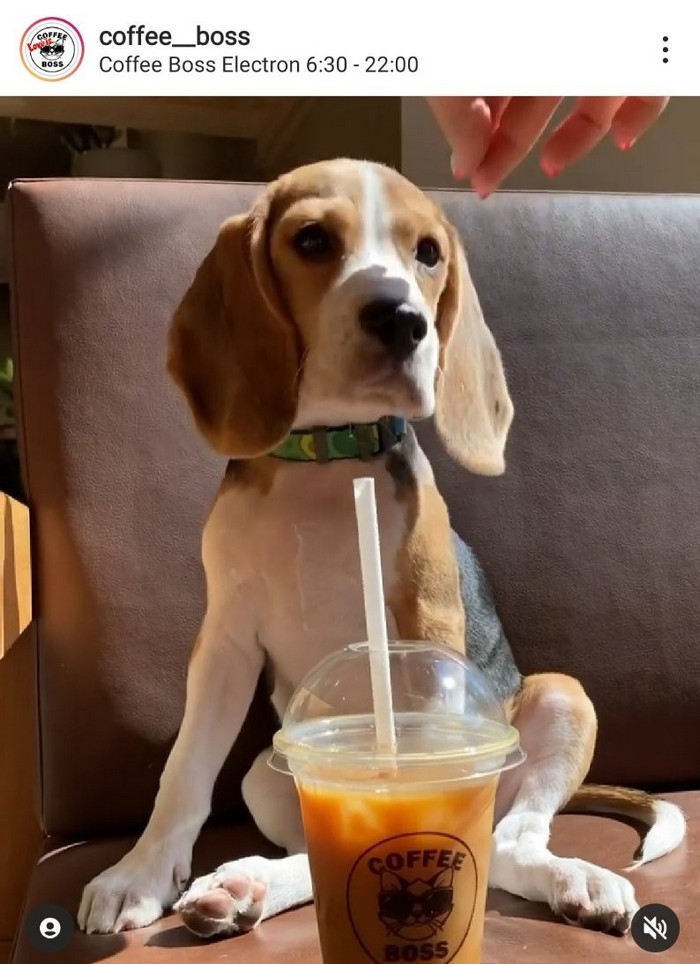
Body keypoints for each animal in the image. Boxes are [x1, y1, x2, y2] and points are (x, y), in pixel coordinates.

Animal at [78, 158, 686, 939]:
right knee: (324, 844)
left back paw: (572, 878)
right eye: (311, 239)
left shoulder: (429, 622)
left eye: (427, 253)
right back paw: (244, 887)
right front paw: (139, 874)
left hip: (561, 699)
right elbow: (183, 770)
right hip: (264, 776)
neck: (331, 460)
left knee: (511, 843)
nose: (402, 318)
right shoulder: (225, 643)